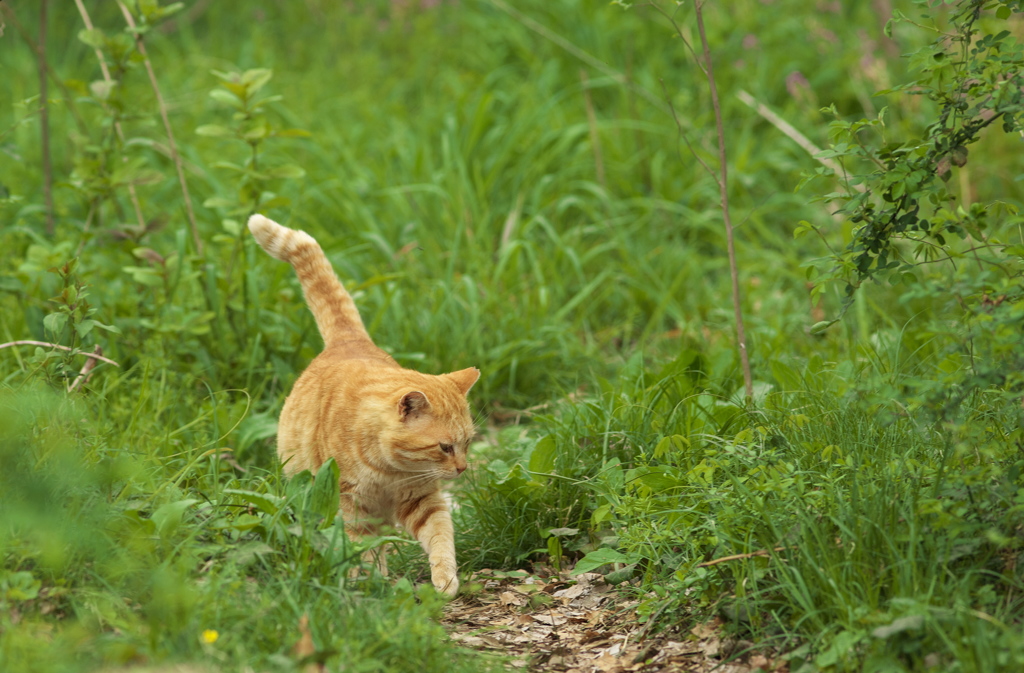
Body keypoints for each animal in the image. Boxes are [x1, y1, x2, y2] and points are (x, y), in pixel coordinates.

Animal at [251, 214, 483, 594]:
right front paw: (370, 583)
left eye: (468, 444)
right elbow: (363, 548)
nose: (463, 469)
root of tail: (348, 341)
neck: (390, 470)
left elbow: (440, 538)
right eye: (445, 447)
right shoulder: (351, 505)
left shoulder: (423, 501)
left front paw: (445, 578)